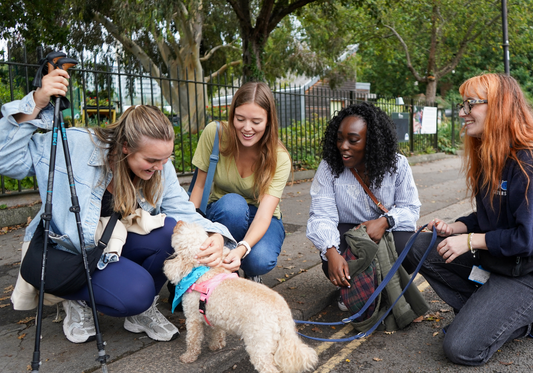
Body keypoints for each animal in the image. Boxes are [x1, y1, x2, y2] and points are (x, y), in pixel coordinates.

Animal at [164, 221, 318, 372]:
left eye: (181, 232)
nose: (178, 221)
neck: (204, 272)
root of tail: (281, 310)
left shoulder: (193, 318)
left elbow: (193, 340)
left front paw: (188, 357)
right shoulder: (213, 315)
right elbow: (217, 332)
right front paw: (216, 345)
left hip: (258, 342)